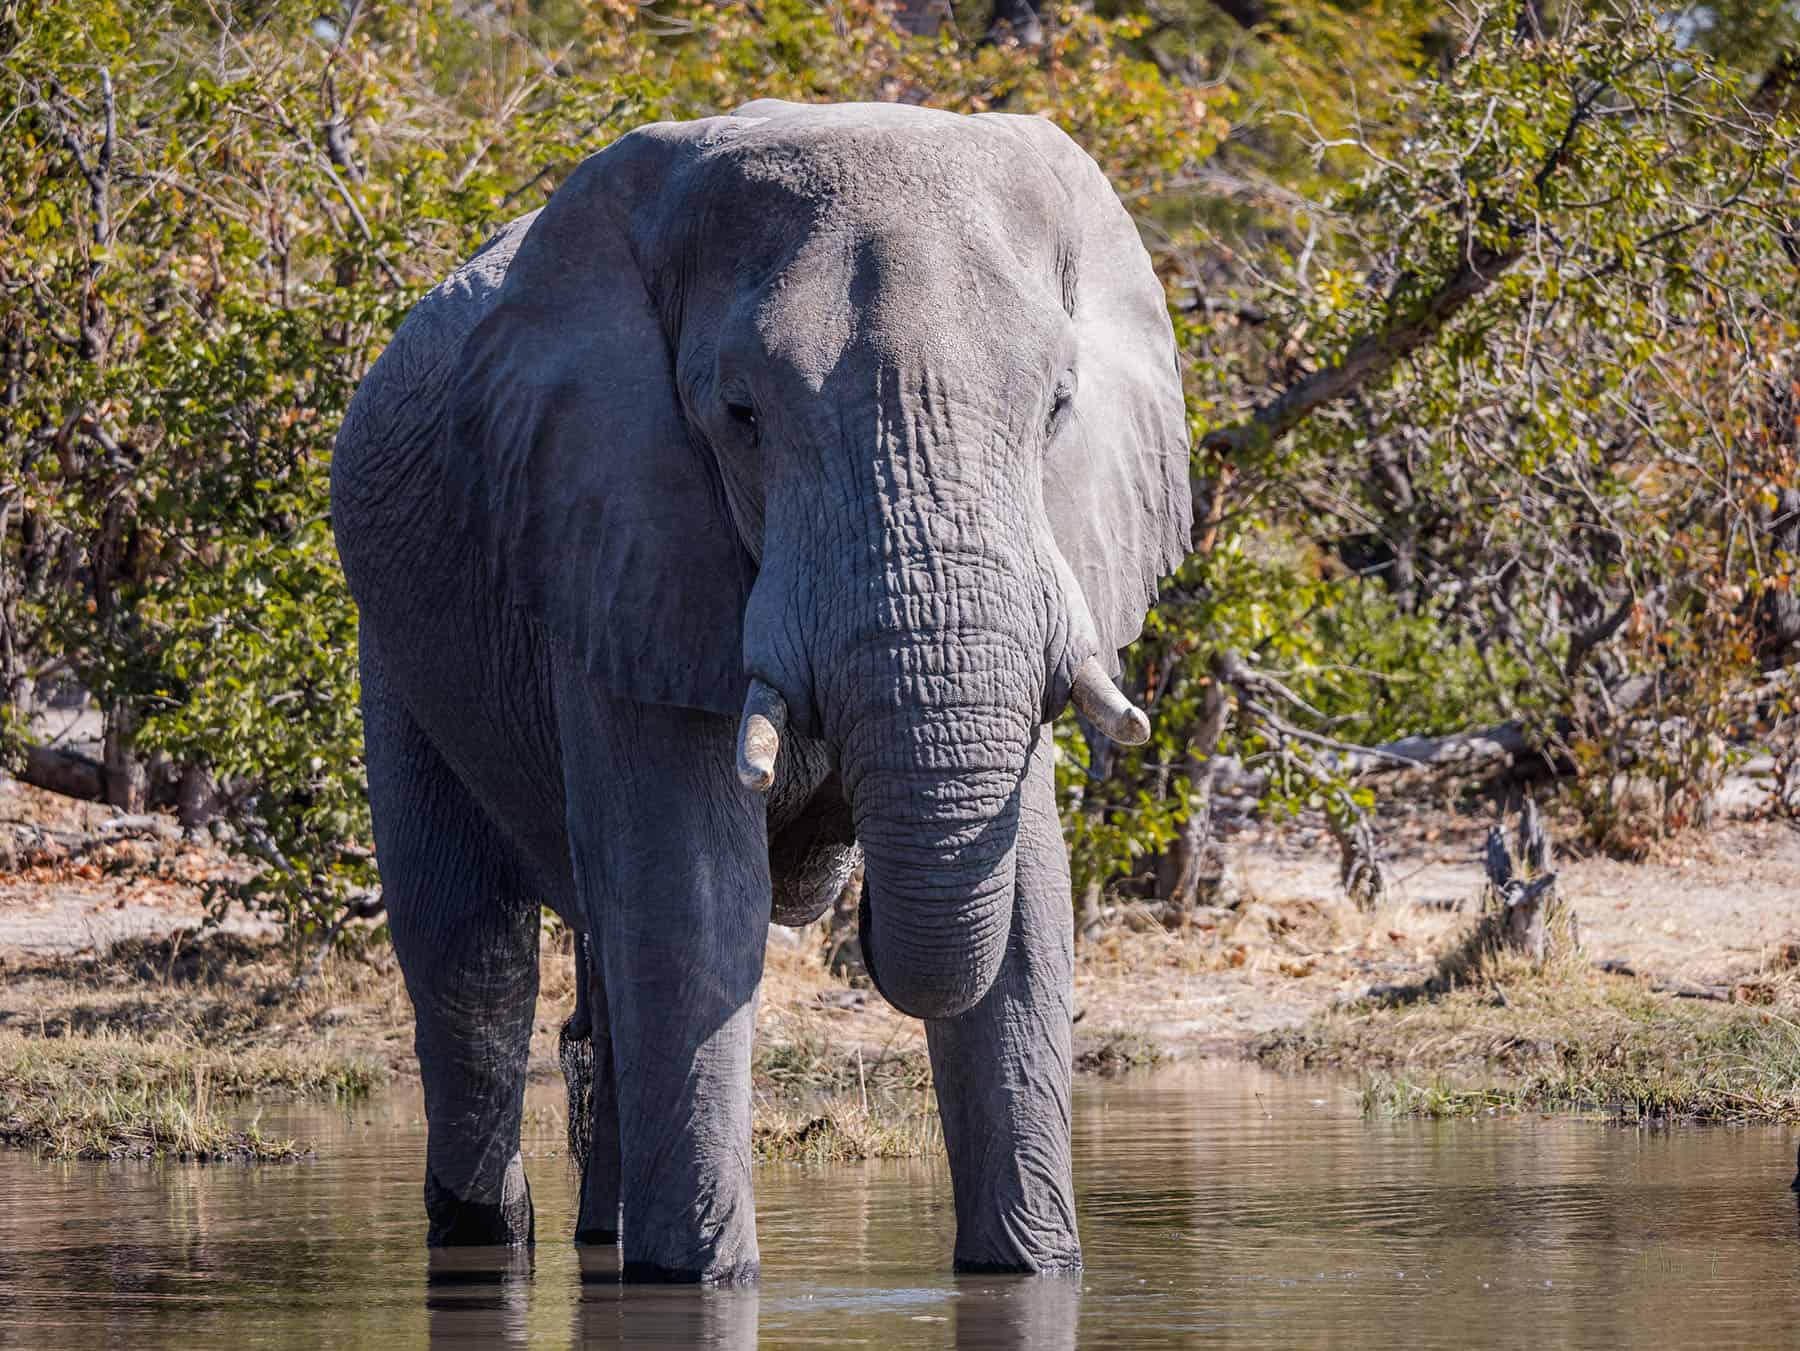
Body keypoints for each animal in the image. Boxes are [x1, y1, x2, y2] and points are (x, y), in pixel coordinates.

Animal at [331, 98, 1190, 1284]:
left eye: (1059, 405)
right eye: (740, 414)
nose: (853, 895)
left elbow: (1030, 912)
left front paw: (1031, 1272)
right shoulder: (617, 529)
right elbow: (691, 898)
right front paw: (701, 1284)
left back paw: (605, 1234)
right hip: (399, 646)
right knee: (470, 959)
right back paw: (487, 1242)